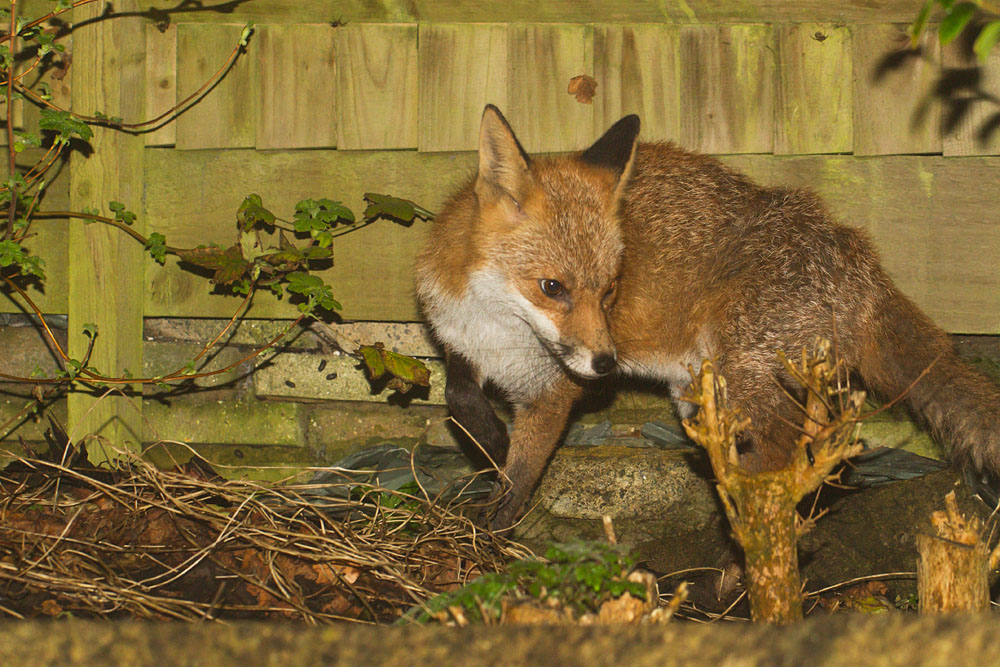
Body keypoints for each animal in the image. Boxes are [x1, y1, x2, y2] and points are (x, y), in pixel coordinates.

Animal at [415, 105, 1000, 530]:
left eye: (610, 290)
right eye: (551, 288)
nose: (606, 365)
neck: (496, 328)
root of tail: (860, 259)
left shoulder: (553, 391)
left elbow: (520, 477)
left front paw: (494, 530)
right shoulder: (457, 339)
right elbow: (459, 397)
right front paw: (489, 441)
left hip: (744, 373)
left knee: (784, 457)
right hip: (700, 396)